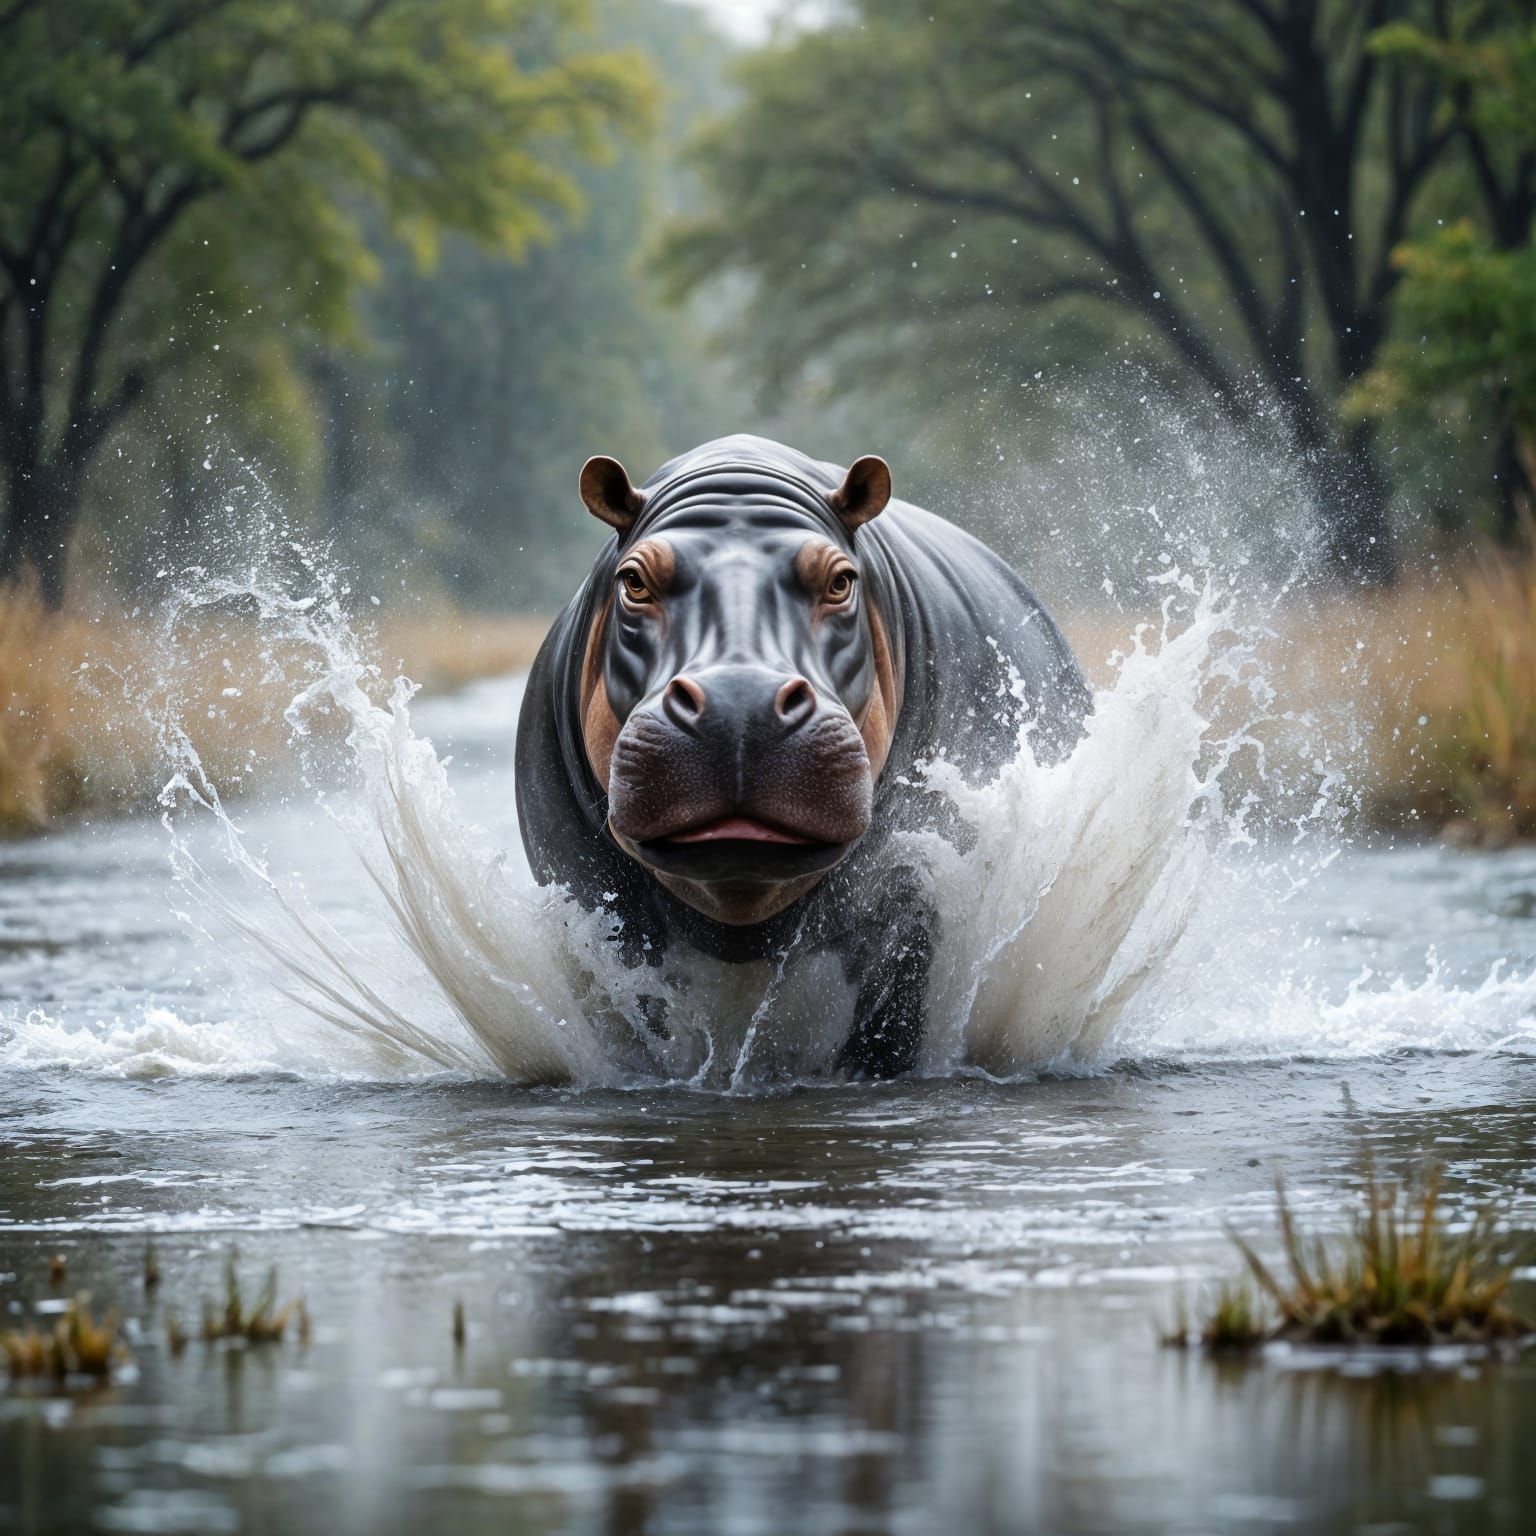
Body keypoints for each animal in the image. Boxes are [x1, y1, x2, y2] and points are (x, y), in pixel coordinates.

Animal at [515, 435, 1089, 1076]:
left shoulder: (910, 885)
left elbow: (893, 1008)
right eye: (634, 581)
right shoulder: (592, 904)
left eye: (841, 581)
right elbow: (638, 1013)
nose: (739, 702)